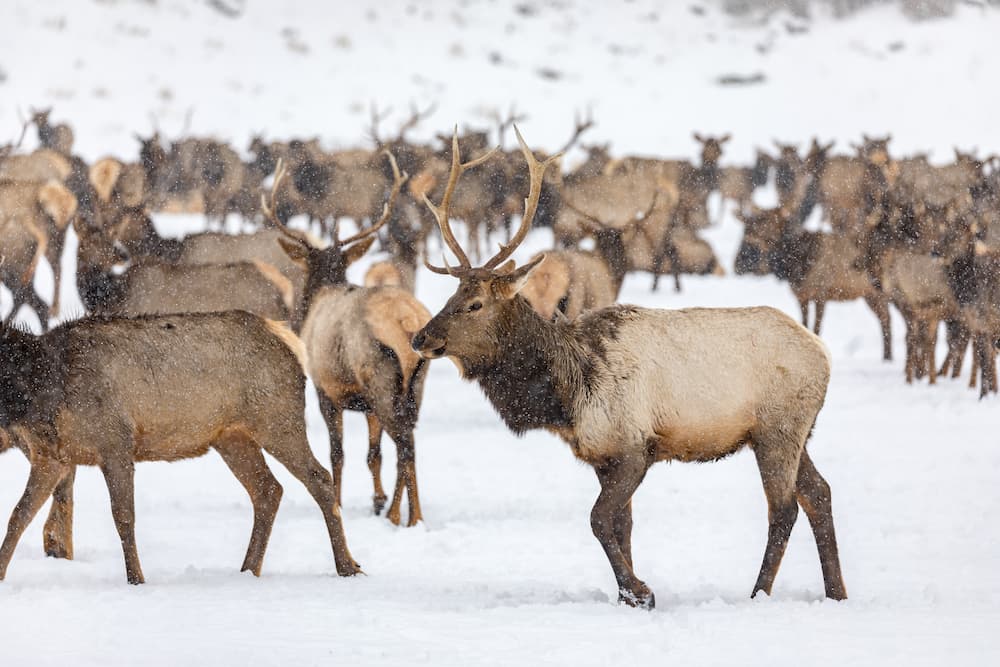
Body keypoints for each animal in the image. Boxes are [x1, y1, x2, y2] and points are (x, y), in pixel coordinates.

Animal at [0, 310, 360, 580]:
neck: (44, 395)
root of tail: (289, 339)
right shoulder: (52, 457)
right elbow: (18, 515)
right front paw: (2, 574)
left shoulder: (116, 442)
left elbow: (123, 517)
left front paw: (136, 578)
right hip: (232, 437)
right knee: (268, 489)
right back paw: (248, 569)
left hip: (277, 420)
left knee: (319, 478)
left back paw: (347, 566)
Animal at [410, 126, 848, 612]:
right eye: (451, 295)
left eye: (474, 304)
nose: (420, 338)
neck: (566, 395)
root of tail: (823, 353)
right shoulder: (602, 455)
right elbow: (622, 526)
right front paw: (628, 595)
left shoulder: (636, 446)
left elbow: (598, 519)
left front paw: (641, 590)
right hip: (794, 432)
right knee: (820, 493)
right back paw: (836, 592)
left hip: (777, 429)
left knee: (784, 507)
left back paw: (758, 594)